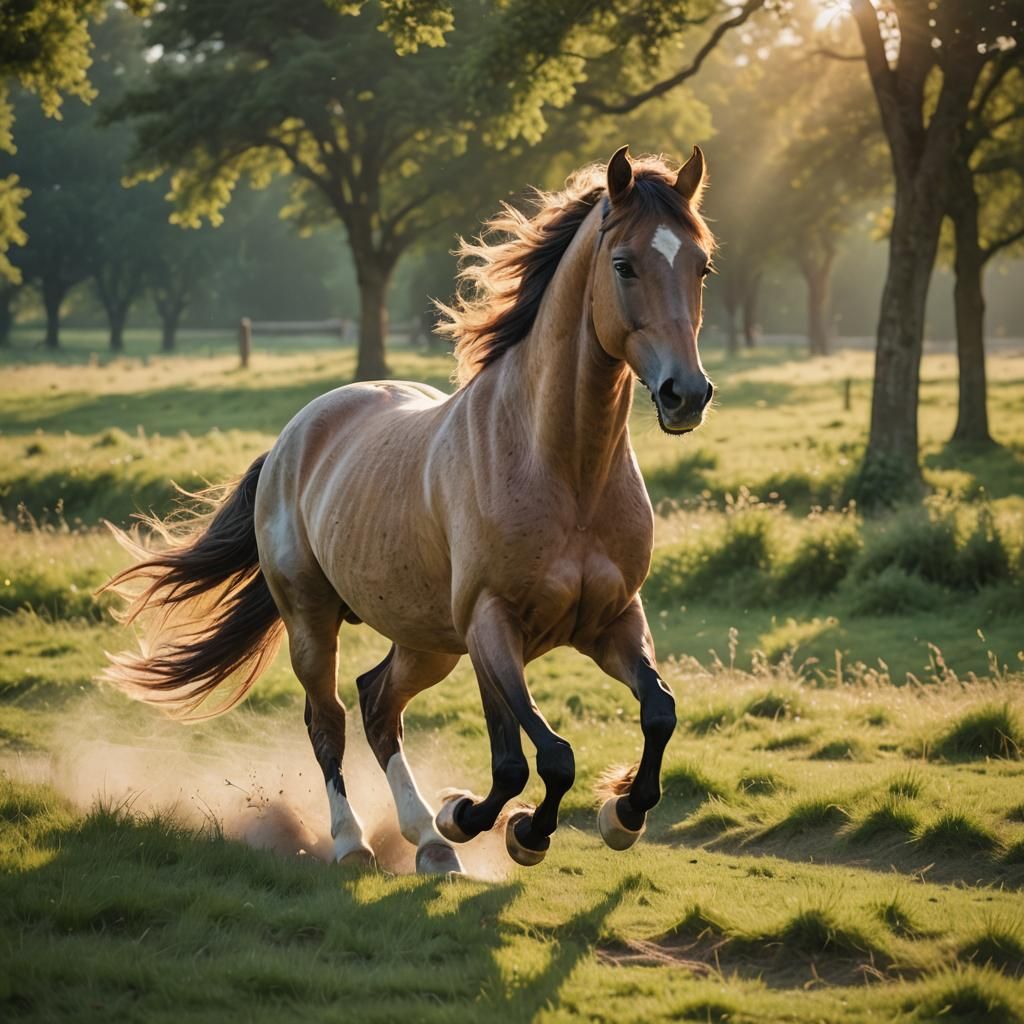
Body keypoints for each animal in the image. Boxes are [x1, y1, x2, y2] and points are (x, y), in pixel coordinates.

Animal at [101, 145, 717, 874]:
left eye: (701, 265)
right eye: (624, 265)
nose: (686, 394)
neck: (565, 472)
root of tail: (293, 437)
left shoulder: (613, 620)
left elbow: (658, 713)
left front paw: (621, 813)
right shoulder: (490, 628)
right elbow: (535, 757)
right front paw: (502, 826)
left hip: (425, 641)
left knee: (377, 704)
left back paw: (427, 840)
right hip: (314, 622)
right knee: (330, 721)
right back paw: (356, 842)